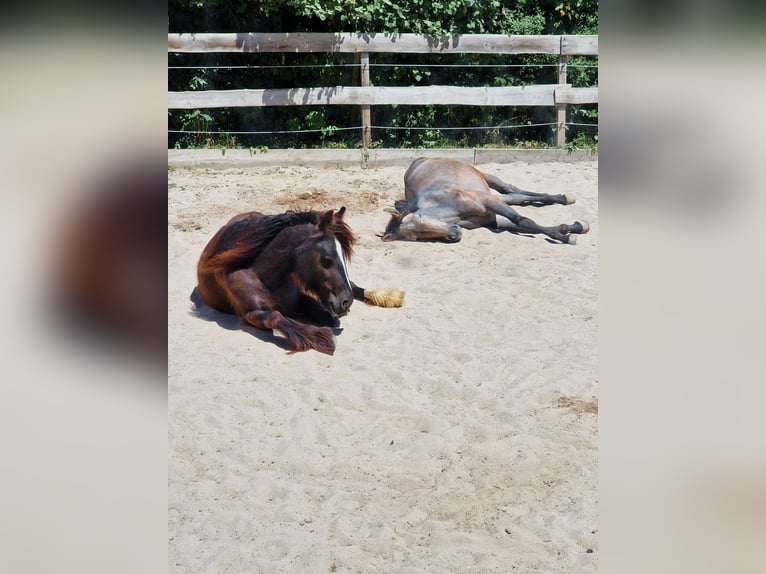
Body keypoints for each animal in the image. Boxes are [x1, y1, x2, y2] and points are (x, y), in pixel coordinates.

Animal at [195, 210, 404, 356]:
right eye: (326, 260)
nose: (345, 302)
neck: (261, 274)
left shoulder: (303, 298)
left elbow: (328, 317)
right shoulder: (249, 313)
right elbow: (276, 316)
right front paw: (321, 338)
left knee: (355, 286)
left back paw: (389, 296)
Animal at [380, 158, 592, 245]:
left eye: (419, 219)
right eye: (415, 236)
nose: (454, 233)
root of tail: (420, 159)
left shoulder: (488, 201)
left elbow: (523, 220)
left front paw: (566, 236)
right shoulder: (493, 219)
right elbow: (528, 225)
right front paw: (569, 229)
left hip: (488, 179)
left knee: (512, 189)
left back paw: (563, 198)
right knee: (517, 197)